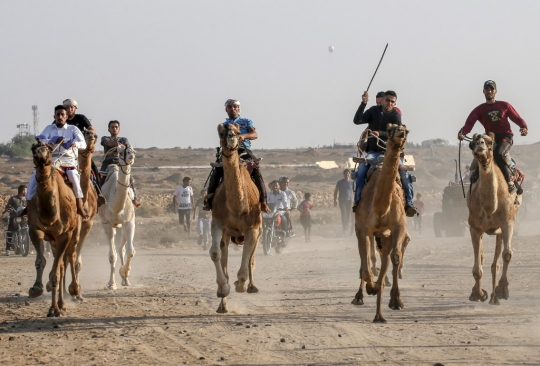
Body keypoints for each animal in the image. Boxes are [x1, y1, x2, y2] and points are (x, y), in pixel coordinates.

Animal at [27, 142, 81, 316]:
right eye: (33, 148)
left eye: (49, 149)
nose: (41, 156)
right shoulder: (34, 229)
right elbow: (40, 260)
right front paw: (36, 288)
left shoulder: (64, 235)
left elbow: (55, 273)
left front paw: (54, 309)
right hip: (53, 240)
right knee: (62, 265)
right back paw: (59, 303)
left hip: (73, 234)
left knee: (66, 261)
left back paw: (64, 302)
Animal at [99, 144, 137, 290]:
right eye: (120, 152)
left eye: (132, 150)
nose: (131, 155)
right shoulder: (106, 224)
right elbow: (111, 256)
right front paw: (111, 284)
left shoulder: (129, 222)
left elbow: (130, 251)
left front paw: (124, 273)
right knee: (116, 250)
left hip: (122, 226)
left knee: (122, 248)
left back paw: (125, 280)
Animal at [210, 122, 262, 312]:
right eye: (221, 132)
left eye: (239, 131)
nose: (231, 137)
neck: (237, 207)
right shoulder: (217, 223)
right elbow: (215, 253)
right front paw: (222, 288)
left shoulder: (253, 227)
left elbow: (248, 254)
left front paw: (241, 283)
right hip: (227, 233)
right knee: (223, 252)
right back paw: (223, 305)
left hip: (259, 226)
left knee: (252, 256)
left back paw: (251, 286)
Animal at [350, 124, 410, 322]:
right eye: (391, 129)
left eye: (406, 130)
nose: (400, 133)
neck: (380, 208)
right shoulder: (362, 229)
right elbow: (366, 265)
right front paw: (369, 288)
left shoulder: (398, 227)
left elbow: (395, 258)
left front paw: (395, 300)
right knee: (366, 262)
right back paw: (360, 296)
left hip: (385, 236)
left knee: (386, 258)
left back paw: (381, 310)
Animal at [466, 133, 520, 304]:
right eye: (473, 143)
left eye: (490, 143)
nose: (480, 145)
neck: (490, 207)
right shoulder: (474, 227)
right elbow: (478, 265)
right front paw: (478, 294)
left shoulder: (507, 222)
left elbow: (507, 254)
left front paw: (503, 290)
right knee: (484, 258)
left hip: (501, 230)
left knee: (496, 262)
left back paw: (495, 297)